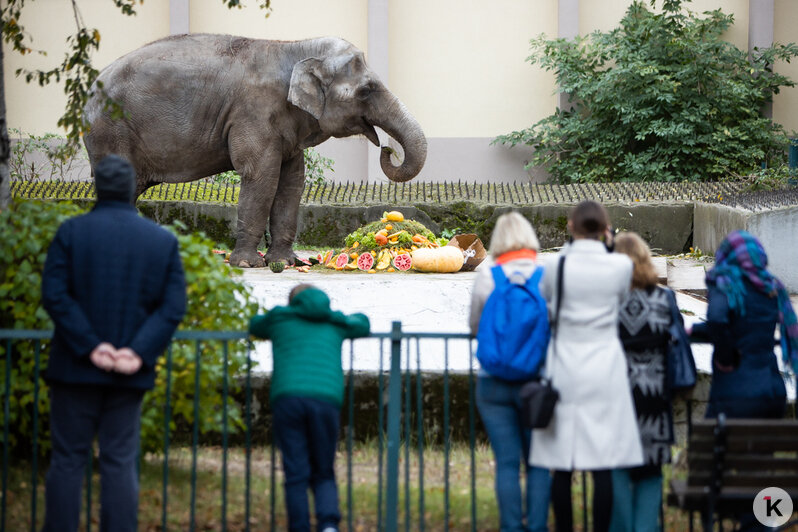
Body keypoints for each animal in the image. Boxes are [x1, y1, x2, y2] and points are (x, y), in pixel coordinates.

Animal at [84, 34, 428, 266]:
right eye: (367, 90)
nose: (388, 148)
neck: (294, 48)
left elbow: (292, 182)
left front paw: (286, 263)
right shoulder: (253, 113)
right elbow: (261, 176)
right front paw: (249, 264)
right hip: (109, 130)